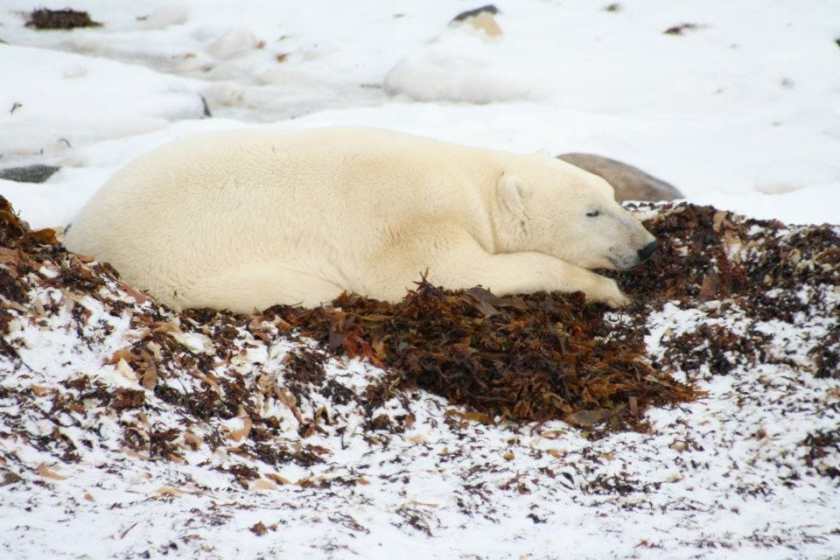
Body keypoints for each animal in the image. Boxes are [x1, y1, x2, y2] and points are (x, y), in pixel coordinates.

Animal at [64, 127, 657, 313]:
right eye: (591, 211)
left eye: (615, 196)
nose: (648, 245)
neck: (474, 184)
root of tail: (83, 236)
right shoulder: (411, 221)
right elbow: (454, 272)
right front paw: (607, 290)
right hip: (185, 266)